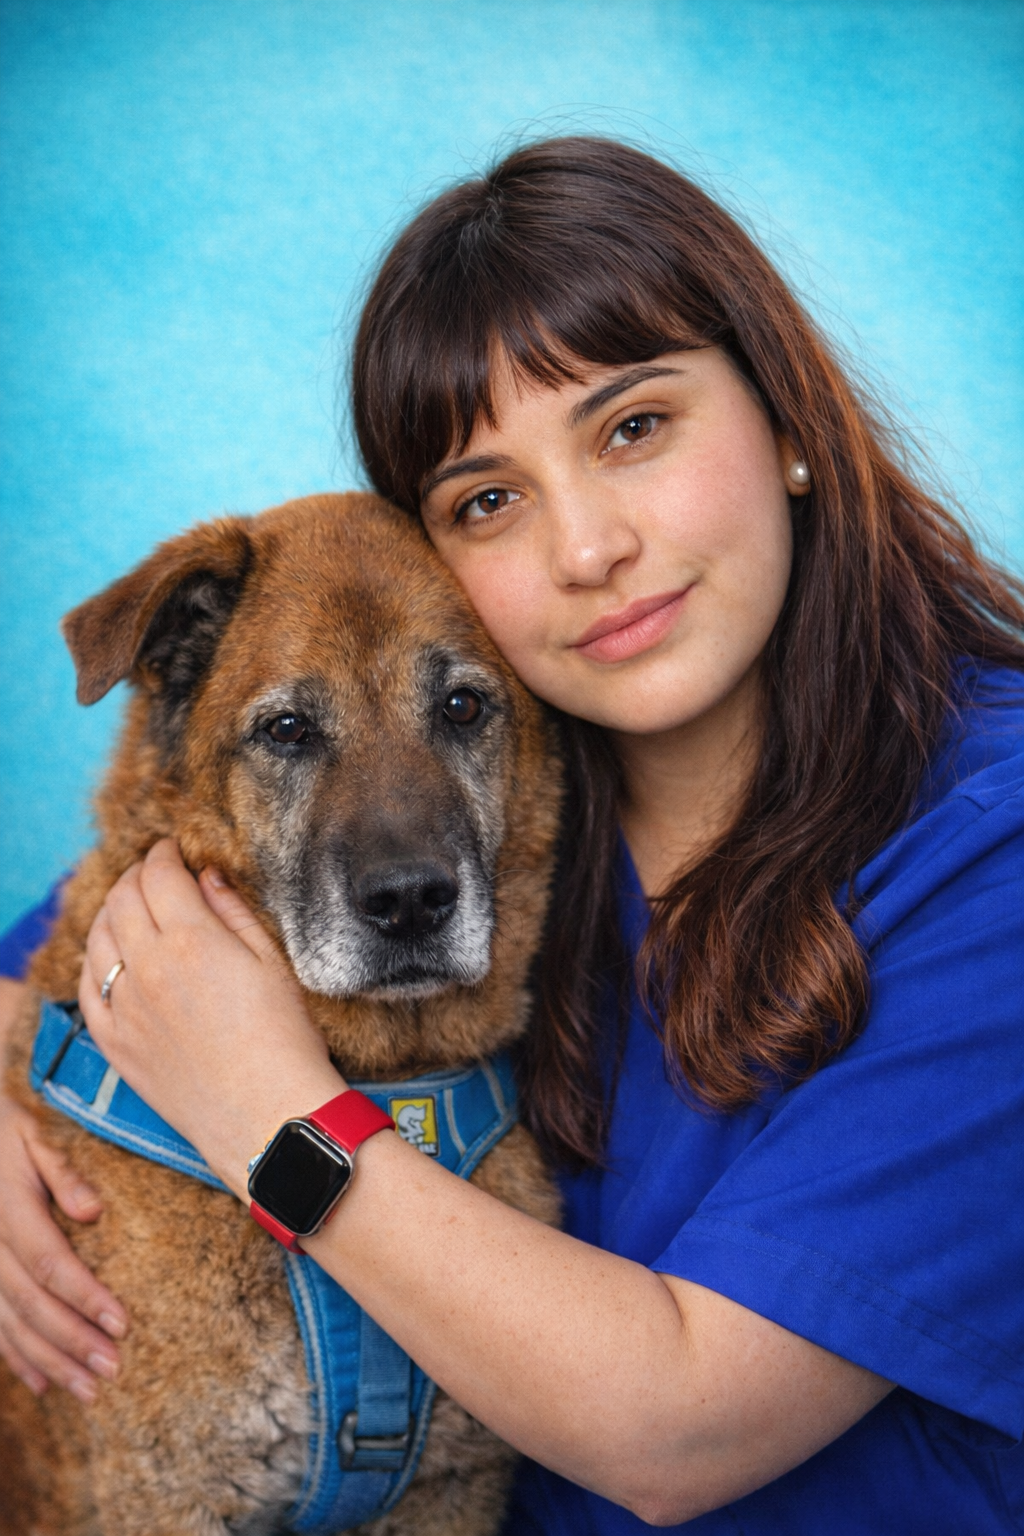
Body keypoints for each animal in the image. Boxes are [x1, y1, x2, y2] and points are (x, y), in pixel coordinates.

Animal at [0, 492, 562, 1536]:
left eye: (462, 707)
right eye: (290, 729)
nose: (411, 903)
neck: (375, 1084)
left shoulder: (452, 1490)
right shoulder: (164, 1493)